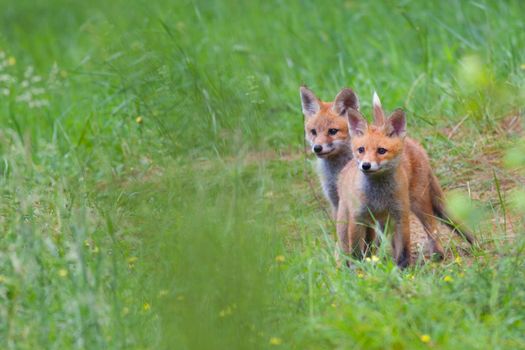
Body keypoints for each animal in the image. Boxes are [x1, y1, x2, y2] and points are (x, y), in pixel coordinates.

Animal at [336, 93, 474, 268]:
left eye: (381, 151)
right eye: (361, 150)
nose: (366, 165)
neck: (378, 196)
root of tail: (411, 142)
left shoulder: (401, 215)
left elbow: (404, 250)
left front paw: (403, 269)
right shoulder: (358, 218)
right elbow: (356, 252)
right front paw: (359, 268)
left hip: (419, 203)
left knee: (432, 229)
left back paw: (440, 254)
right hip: (349, 220)